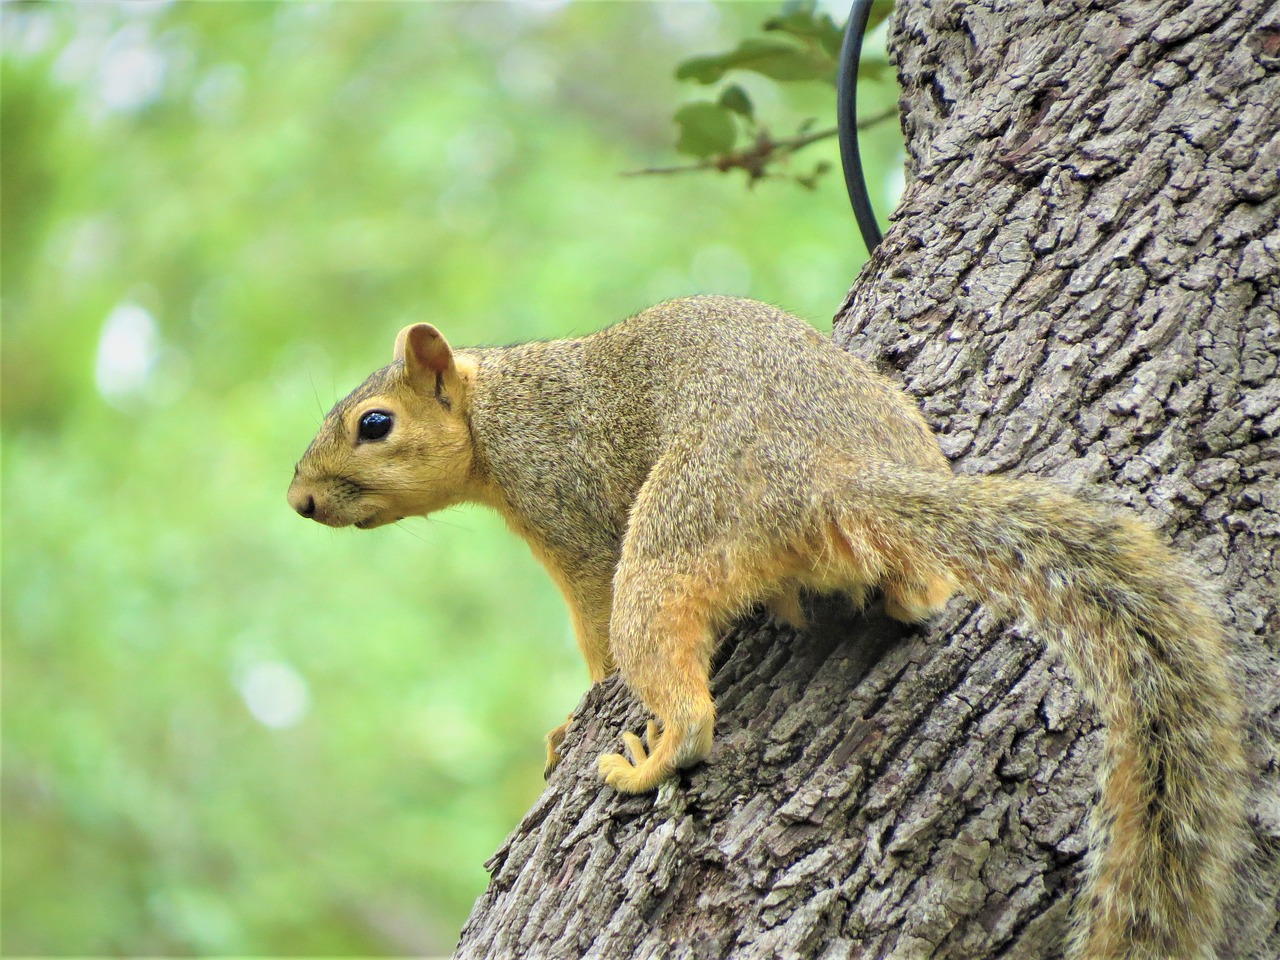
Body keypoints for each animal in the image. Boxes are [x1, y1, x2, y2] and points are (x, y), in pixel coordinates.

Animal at [288, 295, 1239, 960]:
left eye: (375, 424)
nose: (299, 501)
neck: (499, 408)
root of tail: (833, 475)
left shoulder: (574, 514)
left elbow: (594, 634)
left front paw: (567, 724)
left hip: (678, 533)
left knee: (680, 683)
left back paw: (653, 756)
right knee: (909, 587)